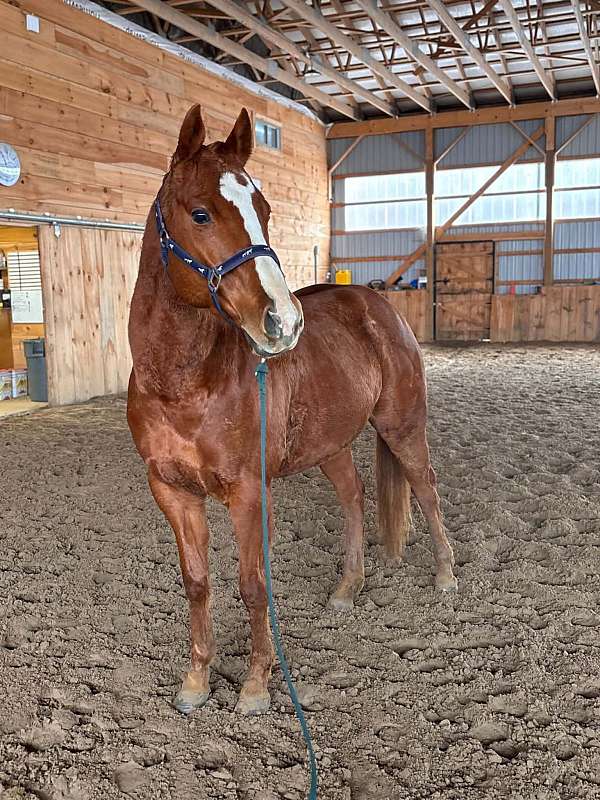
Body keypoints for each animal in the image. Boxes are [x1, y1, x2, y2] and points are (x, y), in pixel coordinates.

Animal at [127, 105, 457, 717]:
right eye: (201, 213)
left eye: (264, 209)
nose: (283, 320)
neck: (184, 384)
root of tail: (377, 304)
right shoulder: (171, 490)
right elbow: (197, 583)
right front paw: (195, 682)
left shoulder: (249, 492)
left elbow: (253, 585)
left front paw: (256, 686)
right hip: (330, 444)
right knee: (354, 497)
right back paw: (347, 589)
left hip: (402, 425)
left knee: (425, 487)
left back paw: (446, 576)